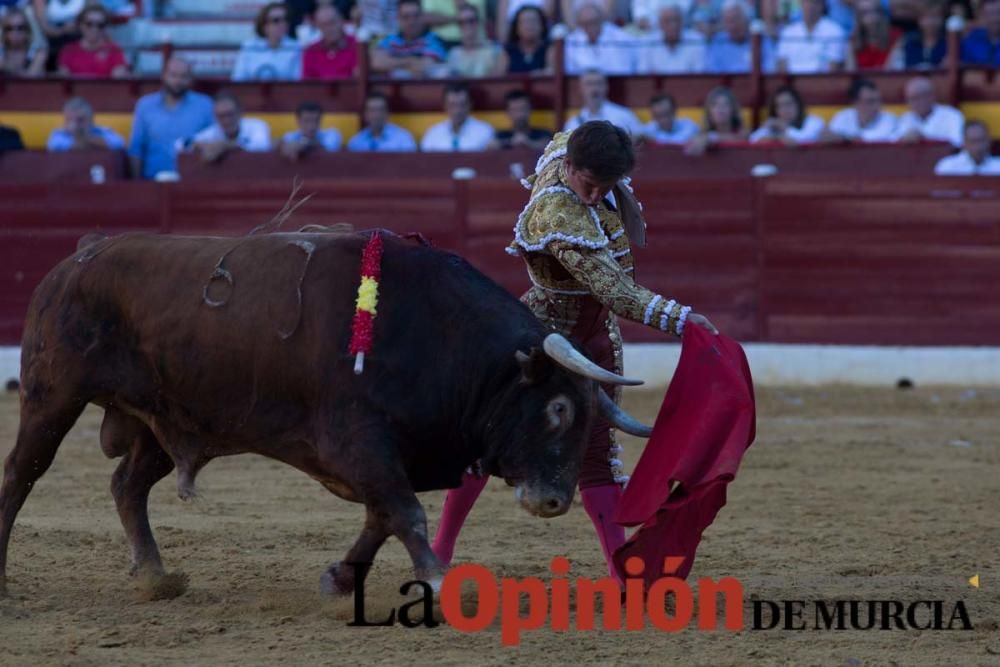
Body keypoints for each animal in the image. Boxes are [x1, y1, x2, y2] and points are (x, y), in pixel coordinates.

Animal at [0, 231, 648, 600]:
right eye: (558, 409)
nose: (554, 501)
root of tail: (76, 259)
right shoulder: (356, 441)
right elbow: (403, 512)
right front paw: (440, 581)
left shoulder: (388, 455)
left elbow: (382, 517)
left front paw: (340, 577)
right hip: (52, 396)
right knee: (22, 474)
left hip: (164, 421)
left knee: (126, 485)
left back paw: (157, 576)